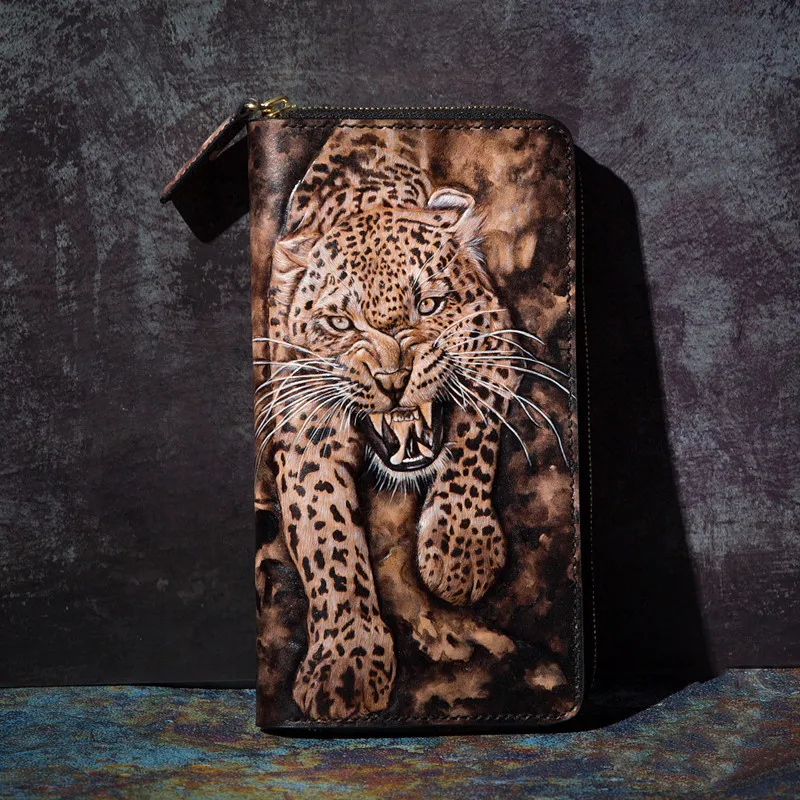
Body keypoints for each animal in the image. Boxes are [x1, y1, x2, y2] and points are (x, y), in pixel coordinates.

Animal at [256, 128, 560, 720]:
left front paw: (461, 552)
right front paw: (345, 663)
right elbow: (327, 536)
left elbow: (469, 440)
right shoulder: (303, 426)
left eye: (430, 304)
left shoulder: (494, 340)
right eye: (339, 322)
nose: (394, 375)